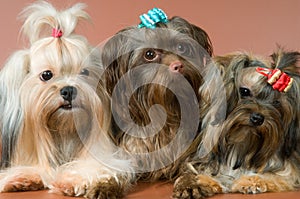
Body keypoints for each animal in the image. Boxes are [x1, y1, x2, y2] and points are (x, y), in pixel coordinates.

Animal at [0, 1, 133, 197]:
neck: (64, 133)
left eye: (84, 72)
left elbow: (95, 166)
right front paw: (23, 176)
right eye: (46, 75)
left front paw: (73, 180)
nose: (69, 90)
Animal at [172, 49, 300, 198]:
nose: (257, 118)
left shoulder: (289, 169)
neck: (243, 143)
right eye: (244, 91)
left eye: (276, 103)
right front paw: (202, 181)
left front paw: (250, 181)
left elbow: (279, 176)